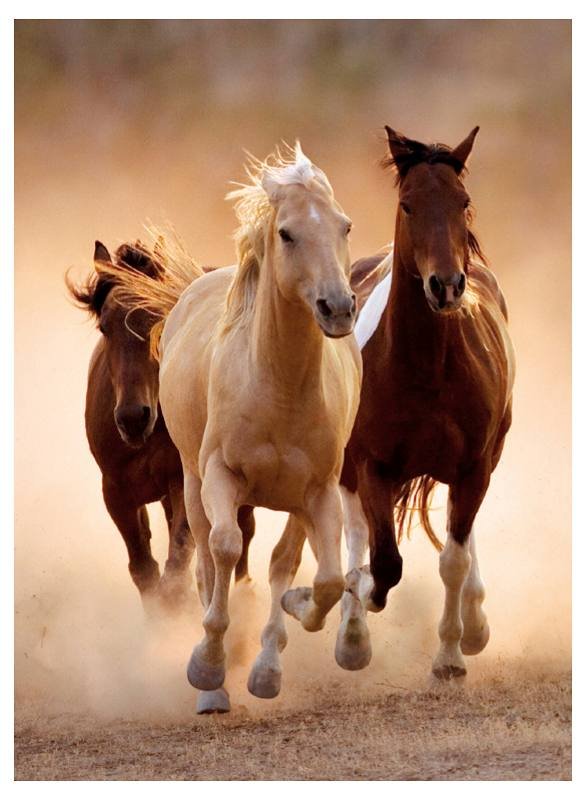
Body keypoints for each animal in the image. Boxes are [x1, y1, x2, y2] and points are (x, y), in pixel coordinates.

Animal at [66, 239, 256, 615]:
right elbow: (145, 571)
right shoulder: (116, 493)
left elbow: (177, 566)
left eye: (158, 318)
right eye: (104, 327)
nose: (132, 417)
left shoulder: (183, 482)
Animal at [106, 144, 362, 713]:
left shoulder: (319, 491)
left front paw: (289, 627)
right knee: (205, 558)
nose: (338, 308)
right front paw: (207, 667)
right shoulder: (220, 477)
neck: (278, 387)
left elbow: (323, 578)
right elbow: (223, 551)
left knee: (284, 560)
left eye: (345, 225)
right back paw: (214, 686)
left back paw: (266, 661)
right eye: (286, 233)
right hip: (191, 483)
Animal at [334, 126, 515, 681]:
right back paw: (351, 634)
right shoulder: (372, 465)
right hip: (347, 466)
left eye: (463, 202)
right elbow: (383, 562)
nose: (447, 285)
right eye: (408, 204)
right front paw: (359, 602)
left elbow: (453, 558)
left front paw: (452, 654)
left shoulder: (474, 465)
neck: (427, 367)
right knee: (355, 532)